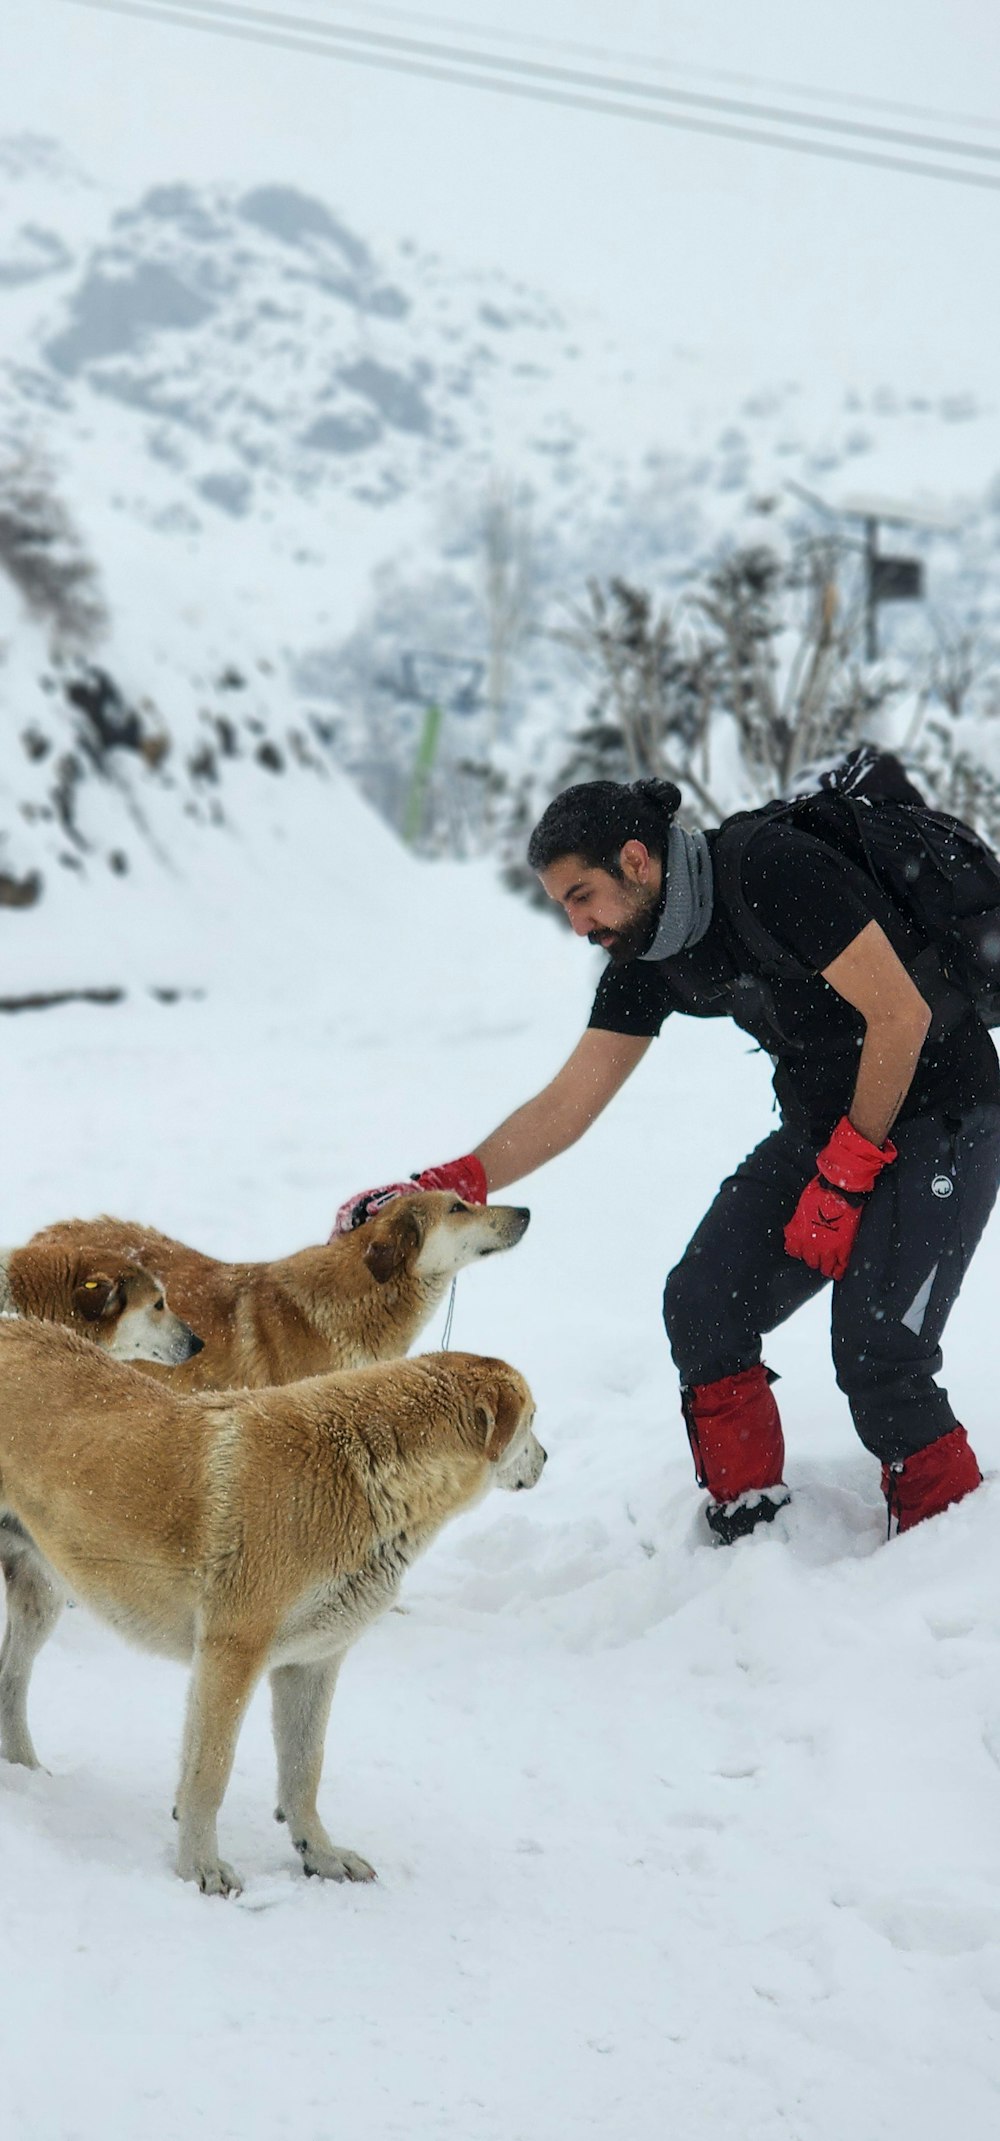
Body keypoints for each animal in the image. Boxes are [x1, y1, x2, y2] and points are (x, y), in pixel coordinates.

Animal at [0, 1327, 548, 1901]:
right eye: (533, 1419)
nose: (546, 1459)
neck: (364, 1472)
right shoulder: (231, 1655)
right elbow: (209, 1774)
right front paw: (200, 1869)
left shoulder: (312, 1663)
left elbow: (305, 1771)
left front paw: (321, 1856)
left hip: (42, 1598)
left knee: (11, 1680)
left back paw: (25, 1772)